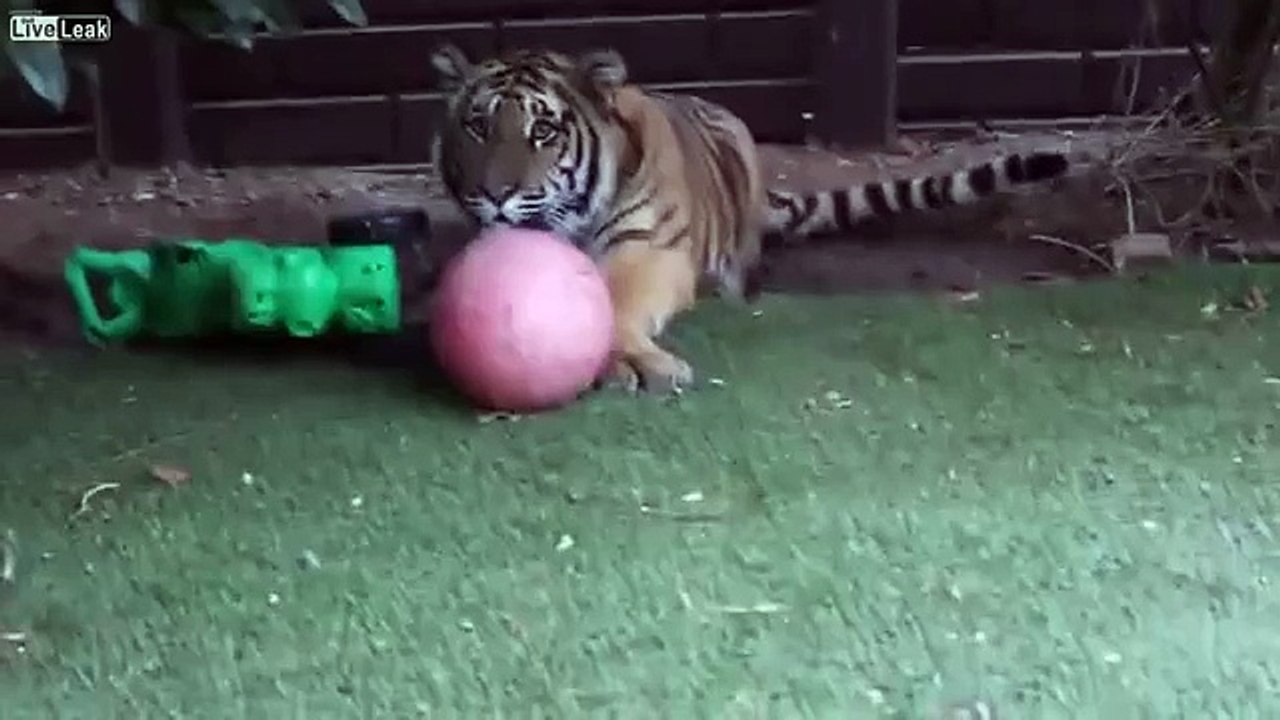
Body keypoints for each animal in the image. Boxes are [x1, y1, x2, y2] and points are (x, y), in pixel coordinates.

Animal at [429, 43, 1073, 395]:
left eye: (543, 130)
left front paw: (635, 362)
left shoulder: (650, 249)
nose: (496, 193)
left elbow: (614, 304)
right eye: (478, 126)